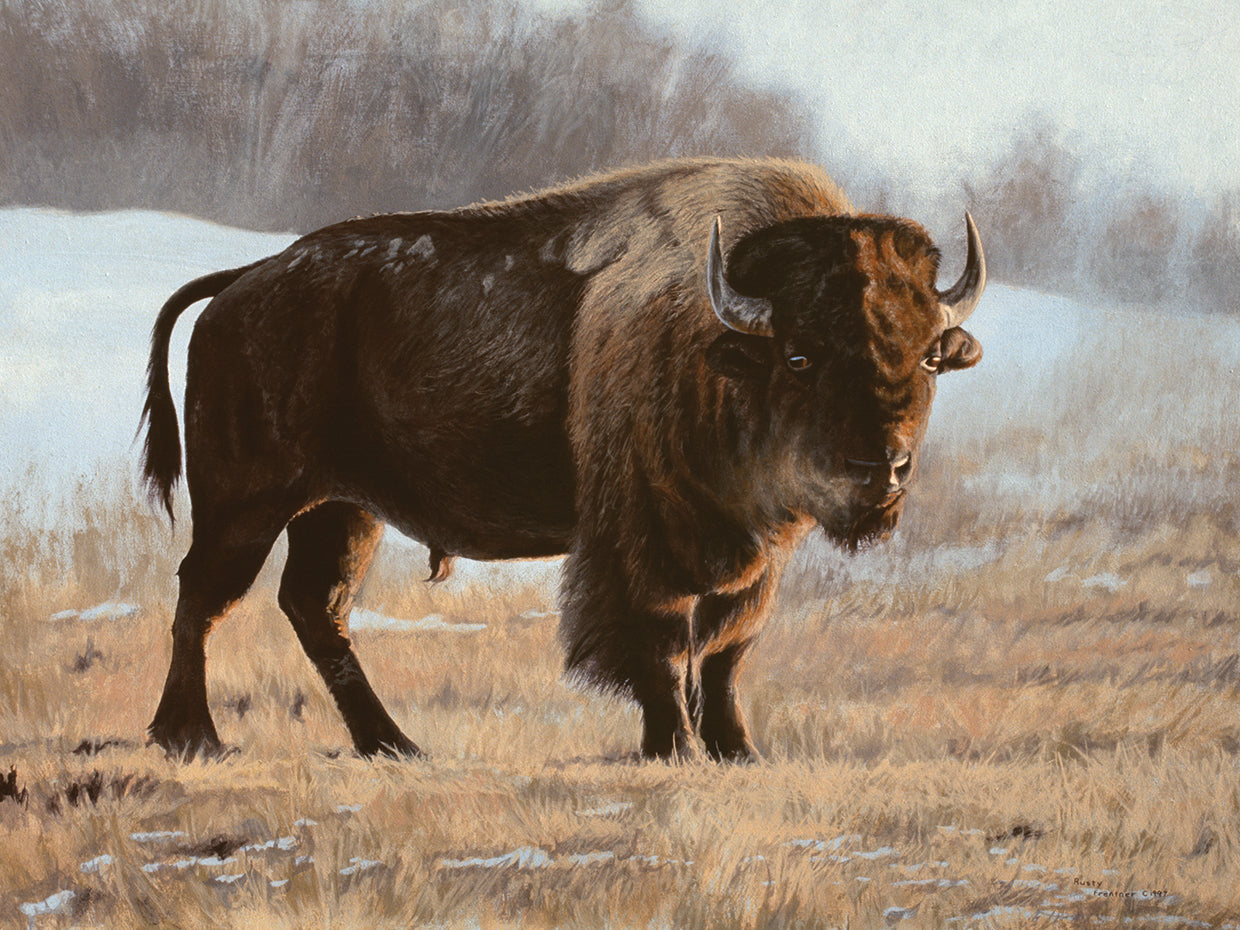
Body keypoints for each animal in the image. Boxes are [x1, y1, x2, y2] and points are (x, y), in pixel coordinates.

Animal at [140, 157, 986, 762]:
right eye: (801, 356)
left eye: (928, 357)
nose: (882, 467)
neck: (721, 342)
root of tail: (243, 284)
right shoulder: (642, 546)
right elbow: (663, 643)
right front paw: (673, 749)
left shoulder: (754, 555)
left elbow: (725, 650)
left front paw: (739, 752)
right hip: (248, 502)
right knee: (203, 595)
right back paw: (191, 738)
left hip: (340, 509)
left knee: (314, 608)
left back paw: (394, 745)